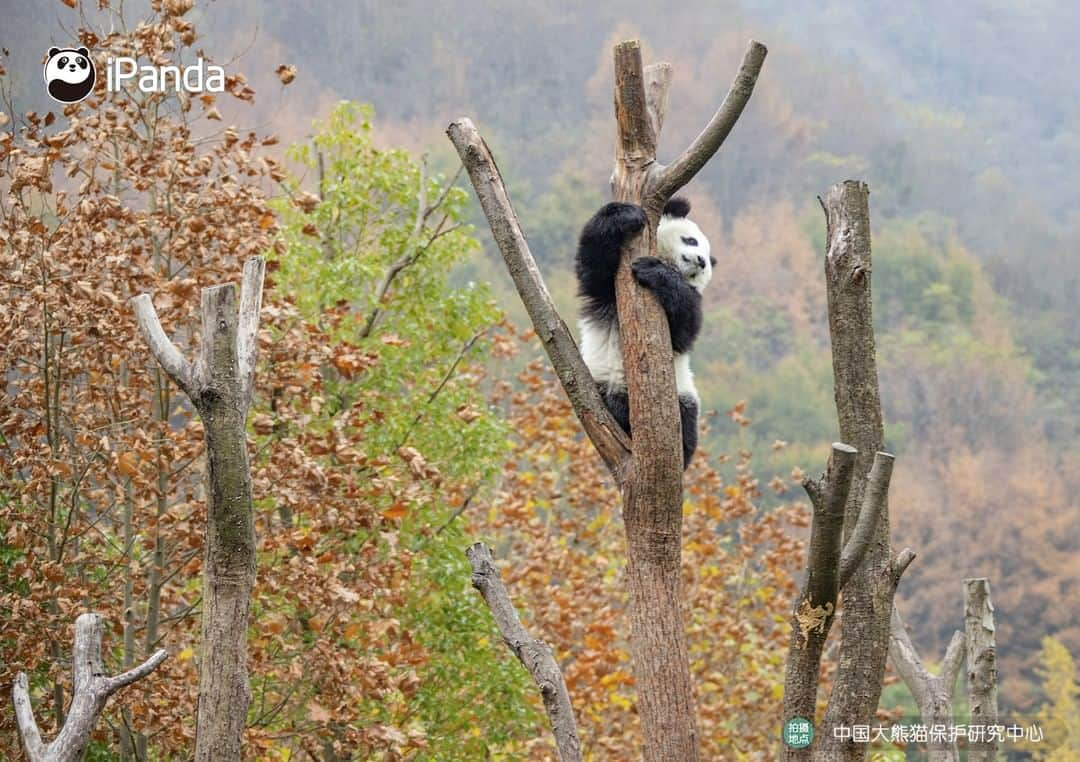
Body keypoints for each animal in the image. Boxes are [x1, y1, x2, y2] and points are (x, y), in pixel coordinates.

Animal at [578, 194, 712, 468]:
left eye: (706, 267)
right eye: (691, 240)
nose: (701, 261)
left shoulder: (693, 300)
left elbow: (684, 330)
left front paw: (654, 271)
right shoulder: (605, 289)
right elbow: (593, 267)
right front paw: (625, 216)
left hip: (681, 393)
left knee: (687, 420)